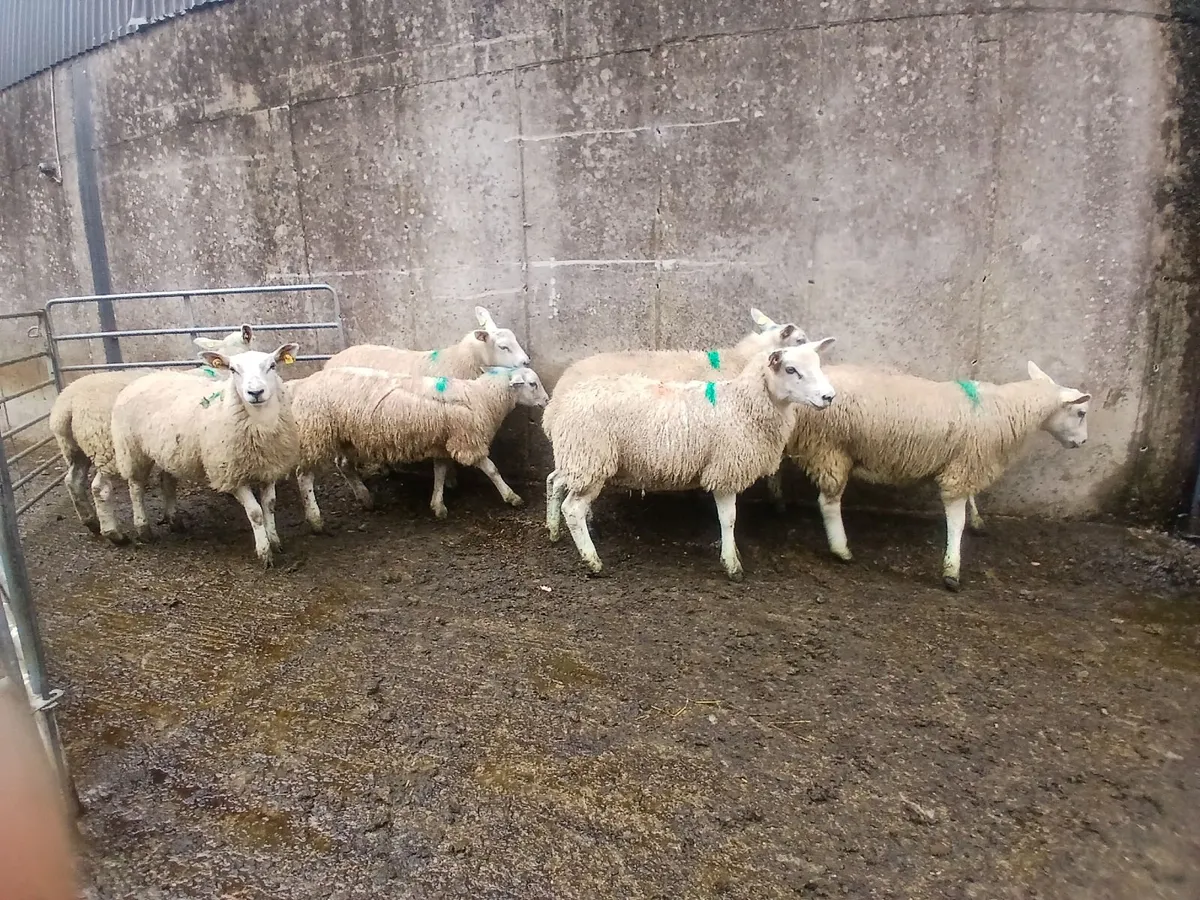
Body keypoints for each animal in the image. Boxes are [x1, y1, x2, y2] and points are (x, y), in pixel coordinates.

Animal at [50, 326, 256, 535]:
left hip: (76, 448)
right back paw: (114, 533)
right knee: (100, 488)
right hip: (109, 447)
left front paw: (172, 517)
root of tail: (67, 405)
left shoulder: (171, 447)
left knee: (73, 480)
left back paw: (90, 521)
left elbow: (168, 481)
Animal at [105, 343, 302, 567]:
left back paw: (174, 520)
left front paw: (275, 541)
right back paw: (143, 528)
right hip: (132, 449)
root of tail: (142, 377)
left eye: (272, 366)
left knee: (166, 482)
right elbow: (256, 513)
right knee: (136, 488)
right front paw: (264, 552)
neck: (260, 425)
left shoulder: (269, 468)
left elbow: (269, 506)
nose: (255, 392)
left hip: (169, 452)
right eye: (233, 370)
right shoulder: (229, 474)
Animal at [290, 365, 549, 532]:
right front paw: (512, 497)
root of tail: (304, 383)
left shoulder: (443, 444)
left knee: (343, 465)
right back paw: (316, 519)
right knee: (304, 476)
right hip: (316, 432)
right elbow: (491, 469)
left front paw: (438, 505)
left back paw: (365, 498)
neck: (482, 397)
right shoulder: (467, 441)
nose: (547, 401)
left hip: (345, 436)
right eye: (532, 384)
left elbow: (440, 472)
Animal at [544, 340, 837, 580]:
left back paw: (553, 530)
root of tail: (565, 402)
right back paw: (592, 561)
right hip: (591, 459)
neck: (743, 405)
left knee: (554, 481)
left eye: (817, 365)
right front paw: (732, 564)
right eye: (791, 369)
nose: (829, 396)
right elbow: (729, 519)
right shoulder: (724, 471)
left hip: (577, 458)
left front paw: (734, 555)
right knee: (573, 509)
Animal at [780, 360, 1091, 591]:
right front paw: (952, 569)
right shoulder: (964, 466)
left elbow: (969, 501)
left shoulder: (965, 461)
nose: (1083, 442)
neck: (1004, 408)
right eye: (1081, 412)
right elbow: (956, 521)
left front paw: (978, 520)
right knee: (829, 502)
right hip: (830, 447)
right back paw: (840, 548)